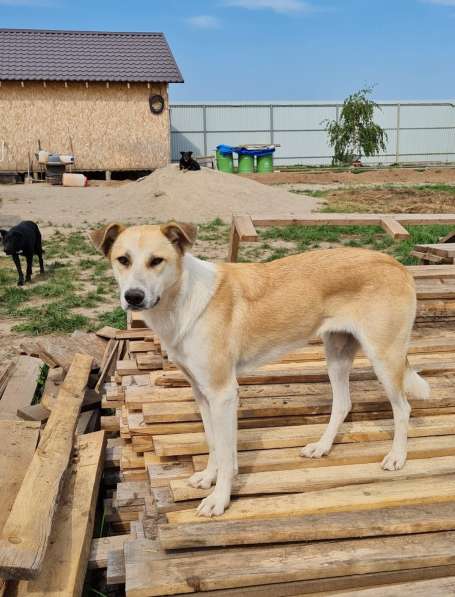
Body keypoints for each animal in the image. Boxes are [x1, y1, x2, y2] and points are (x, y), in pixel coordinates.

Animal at [91, 221, 432, 516]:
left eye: (156, 261)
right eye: (123, 260)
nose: (133, 297)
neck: (181, 300)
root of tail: (396, 264)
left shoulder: (223, 393)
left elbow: (226, 451)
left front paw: (219, 499)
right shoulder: (202, 393)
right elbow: (213, 442)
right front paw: (208, 477)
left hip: (384, 356)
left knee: (403, 408)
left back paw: (397, 457)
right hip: (336, 354)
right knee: (343, 403)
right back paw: (322, 447)